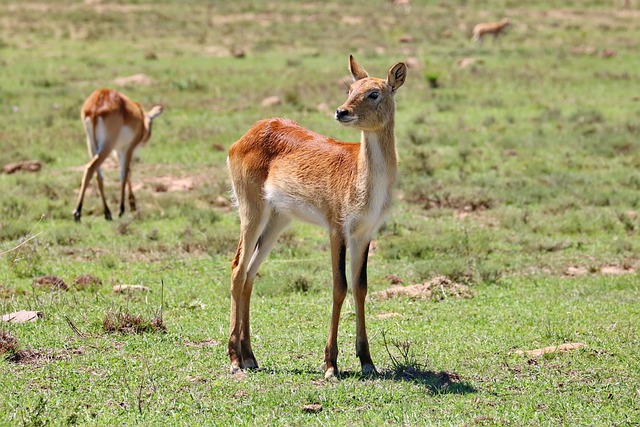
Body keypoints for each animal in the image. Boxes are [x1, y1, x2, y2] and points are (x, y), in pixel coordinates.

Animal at [73, 88, 164, 222]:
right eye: (151, 123)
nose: (146, 137)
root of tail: (97, 103)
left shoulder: (119, 151)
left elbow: (128, 172)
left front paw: (132, 204)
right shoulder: (128, 149)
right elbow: (124, 174)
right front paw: (122, 209)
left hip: (92, 145)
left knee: (97, 175)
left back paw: (107, 213)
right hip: (107, 146)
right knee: (90, 168)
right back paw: (78, 213)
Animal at [228, 55, 408, 380]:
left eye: (374, 92)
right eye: (350, 88)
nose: (341, 111)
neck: (362, 177)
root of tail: (251, 131)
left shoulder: (364, 234)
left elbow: (360, 287)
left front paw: (367, 361)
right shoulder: (337, 229)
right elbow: (340, 287)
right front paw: (330, 364)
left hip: (277, 220)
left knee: (249, 273)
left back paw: (250, 357)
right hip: (252, 211)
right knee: (237, 268)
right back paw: (235, 359)